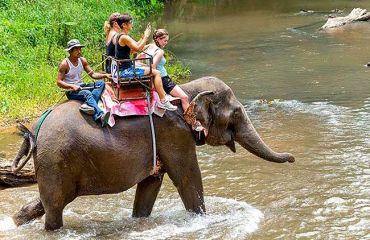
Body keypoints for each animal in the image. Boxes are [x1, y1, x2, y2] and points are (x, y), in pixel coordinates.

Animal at [12, 76, 294, 230]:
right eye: (236, 113)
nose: (293, 157)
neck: (185, 90)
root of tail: (34, 129)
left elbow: (151, 183)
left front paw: (138, 221)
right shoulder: (174, 133)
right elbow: (187, 177)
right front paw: (202, 220)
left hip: (52, 163)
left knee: (45, 203)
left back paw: (17, 220)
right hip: (56, 158)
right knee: (55, 207)